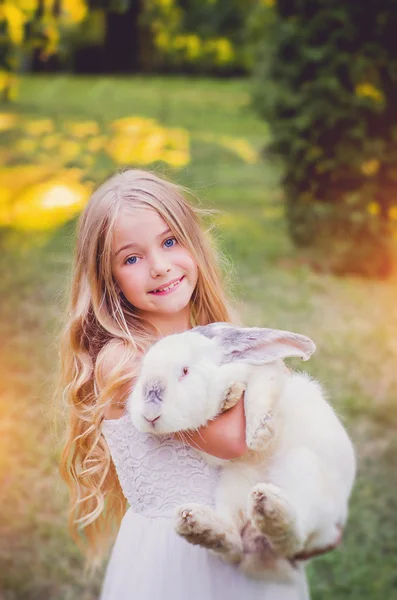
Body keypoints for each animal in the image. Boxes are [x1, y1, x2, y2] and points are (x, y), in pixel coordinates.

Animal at [127, 324, 356, 580]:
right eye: (143, 369)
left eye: (185, 371)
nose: (148, 414)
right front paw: (229, 396)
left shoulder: (266, 375)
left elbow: (260, 394)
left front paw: (259, 433)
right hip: (234, 484)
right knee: (233, 543)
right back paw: (199, 525)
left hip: (303, 470)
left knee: (295, 536)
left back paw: (269, 509)